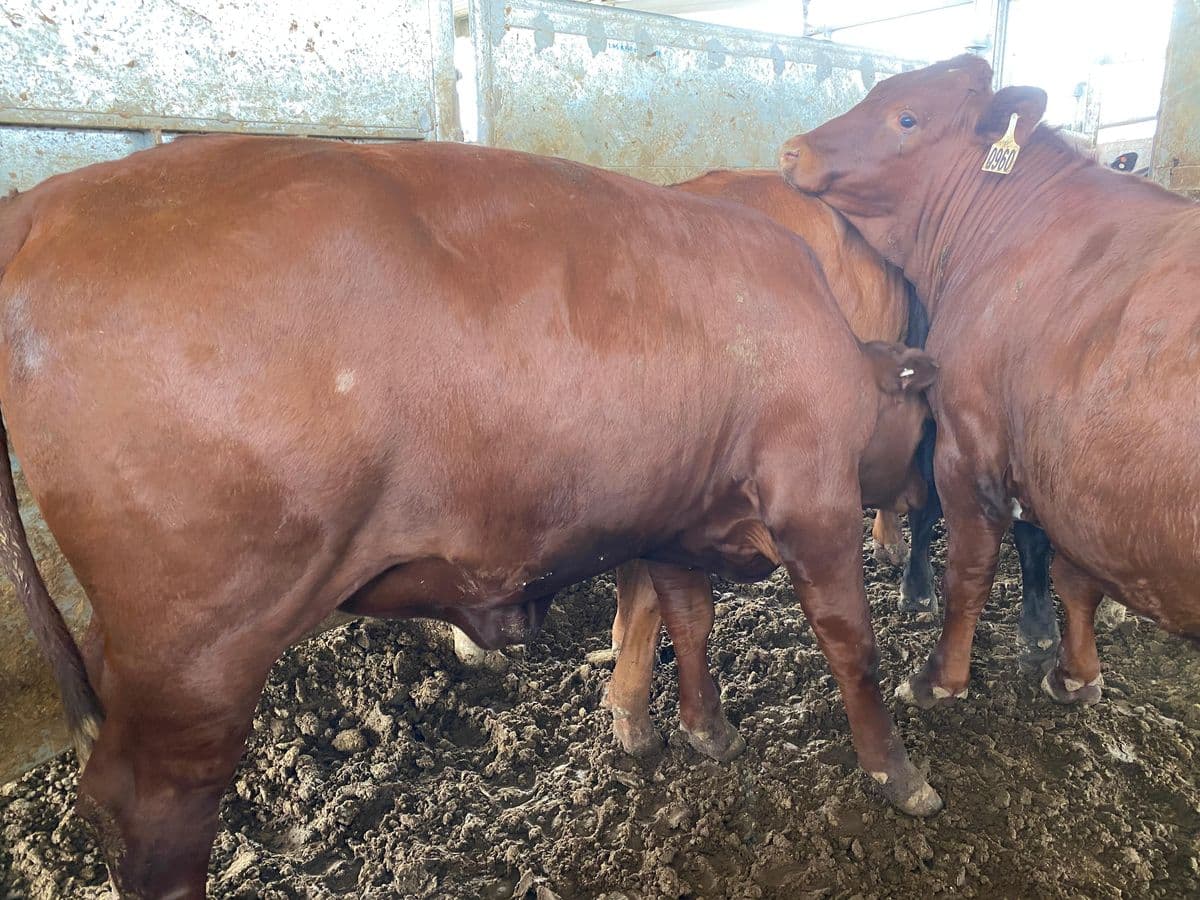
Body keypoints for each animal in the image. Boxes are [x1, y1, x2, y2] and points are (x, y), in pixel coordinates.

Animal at [0, 136, 940, 898]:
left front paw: (705, 730)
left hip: (145, 652)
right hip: (200, 651)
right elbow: (850, 644)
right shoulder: (815, 507)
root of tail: (42, 202)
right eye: (926, 422)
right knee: (150, 817)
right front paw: (898, 776)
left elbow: (690, 617)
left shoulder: (675, 516)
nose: (920, 501)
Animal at [780, 54, 1200, 726]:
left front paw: (940, 679)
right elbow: (1073, 576)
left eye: (907, 117)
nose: (793, 150)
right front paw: (1074, 673)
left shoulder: (971, 440)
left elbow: (970, 568)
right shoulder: (1070, 477)